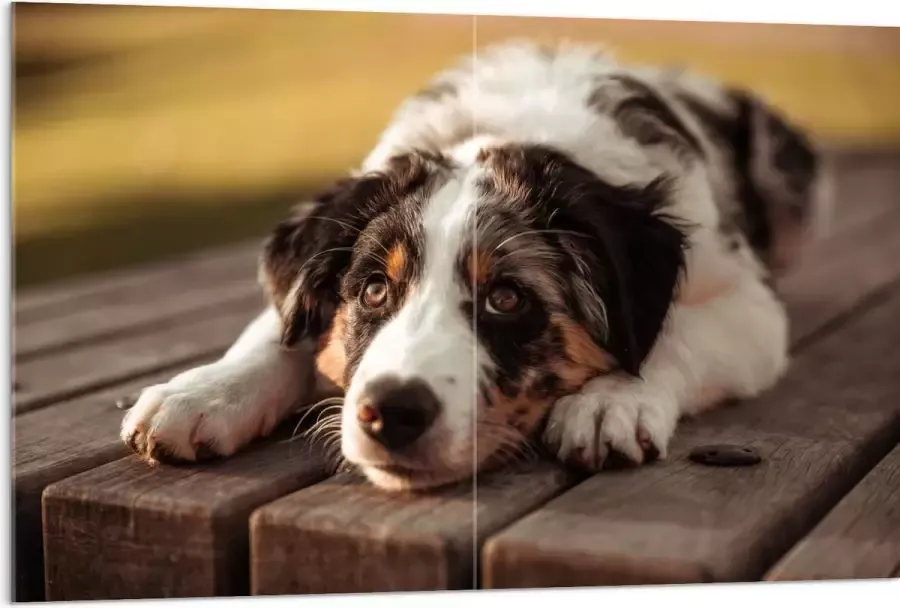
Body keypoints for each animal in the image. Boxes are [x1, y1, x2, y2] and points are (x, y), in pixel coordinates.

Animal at [118, 40, 828, 492]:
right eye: (373, 290)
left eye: (507, 298)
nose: (391, 413)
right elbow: (278, 328)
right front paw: (201, 394)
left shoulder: (749, 304)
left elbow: (673, 333)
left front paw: (611, 402)